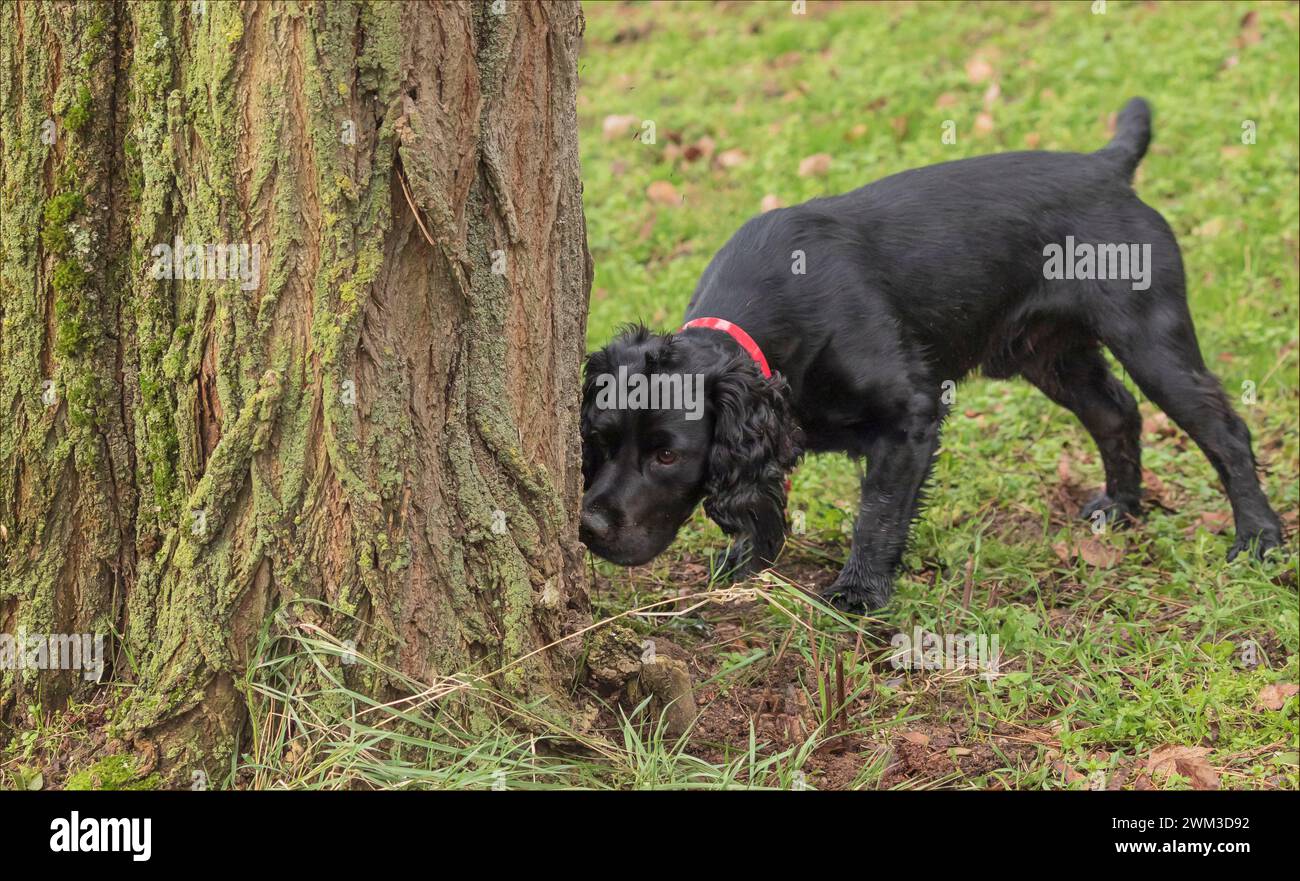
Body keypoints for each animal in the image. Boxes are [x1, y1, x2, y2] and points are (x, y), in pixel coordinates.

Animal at [585, 94, 1284, 608]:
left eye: (668, 454)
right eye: (598, 440)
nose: (589, 527)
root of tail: (1108, 166)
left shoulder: (910, 418)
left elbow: (879, 513)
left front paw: (859, 592)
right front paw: (745, 567)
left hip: (1152, 339)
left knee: (1225, 431)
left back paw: (1259, 538)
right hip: (1050, 356)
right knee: (1117, 413)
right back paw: (1121, 508)